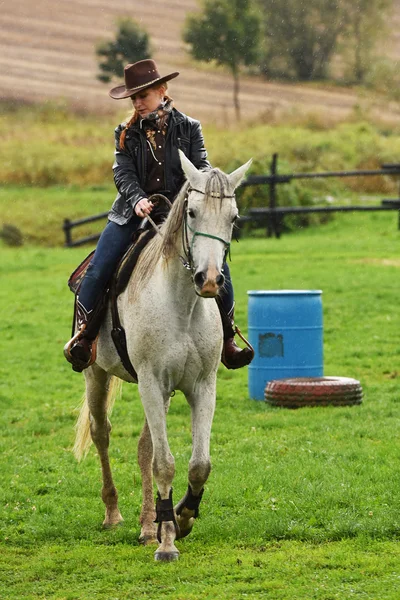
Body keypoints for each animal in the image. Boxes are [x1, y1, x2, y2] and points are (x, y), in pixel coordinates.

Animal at [73, 151, 252, 564]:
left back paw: (145, 524)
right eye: (192, 212)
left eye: (233, 217)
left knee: (144, 447)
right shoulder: (152, 383)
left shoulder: (200, 387)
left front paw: (182, 518)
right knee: (102, 433)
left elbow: (197, 465)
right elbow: (164, 464)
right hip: (97, 374)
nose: (209, 280)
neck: (182, 306)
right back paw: (114, 514)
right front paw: (167, 542)